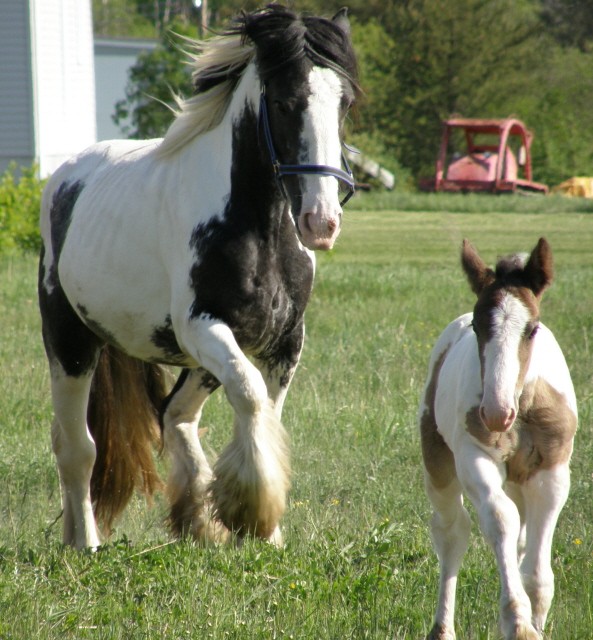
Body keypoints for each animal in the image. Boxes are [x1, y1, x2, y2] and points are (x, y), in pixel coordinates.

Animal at [40, 5, 360, 548]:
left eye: (344, 103)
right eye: (284, 101)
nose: (321, 223)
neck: (258, 227)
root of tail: (65, 178)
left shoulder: (284, 343)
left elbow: (265, 416)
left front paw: (265, 533)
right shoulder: (203, 326)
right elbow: (250, 396)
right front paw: (250, 511)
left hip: (198, 360)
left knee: (174, 415)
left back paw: (189, 517)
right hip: (71, 342)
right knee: (78, 447)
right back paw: (86, 542)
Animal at [418, 239, 576, 640]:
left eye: (532, 328)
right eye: (477, 325)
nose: (494, 413)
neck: (522, 405)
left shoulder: (552, 470)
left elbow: (536, 569)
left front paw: (534, 621)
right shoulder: (473, 456)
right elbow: (500, 520)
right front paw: (518, 622)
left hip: (520, 477)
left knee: (519, 538)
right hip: (438, 460)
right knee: (452, 532)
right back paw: (442, 628)